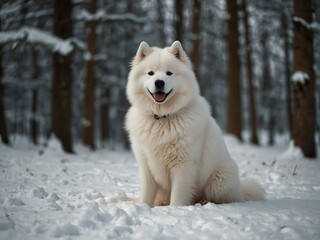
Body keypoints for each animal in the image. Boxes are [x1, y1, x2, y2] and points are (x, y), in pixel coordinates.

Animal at [125, 41, 264, 206]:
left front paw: (175, 208)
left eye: (169, 73)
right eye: (150, 73)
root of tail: (240, 190)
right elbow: (146, 194)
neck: (162, 118)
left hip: (219, 181)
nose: (159, 82)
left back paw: (204, 201)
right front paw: (143, 206)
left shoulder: (183, 165)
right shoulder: (146, 165)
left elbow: (178, 195)